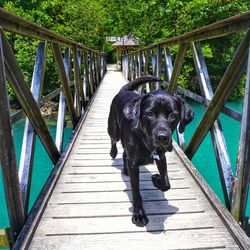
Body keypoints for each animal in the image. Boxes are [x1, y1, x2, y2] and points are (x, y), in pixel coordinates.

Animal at [107, 75, 193, 227]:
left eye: (173, 115)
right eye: (149, 114)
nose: (162, 137)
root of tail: (124, 90)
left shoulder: (161, 157)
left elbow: (166, 183)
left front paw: (156, 179)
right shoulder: (134, 164)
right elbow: (136, 192)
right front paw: (139, 214)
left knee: (125, 154)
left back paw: (125, 170)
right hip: (114, 129)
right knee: (114, 141)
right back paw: (113, 152)